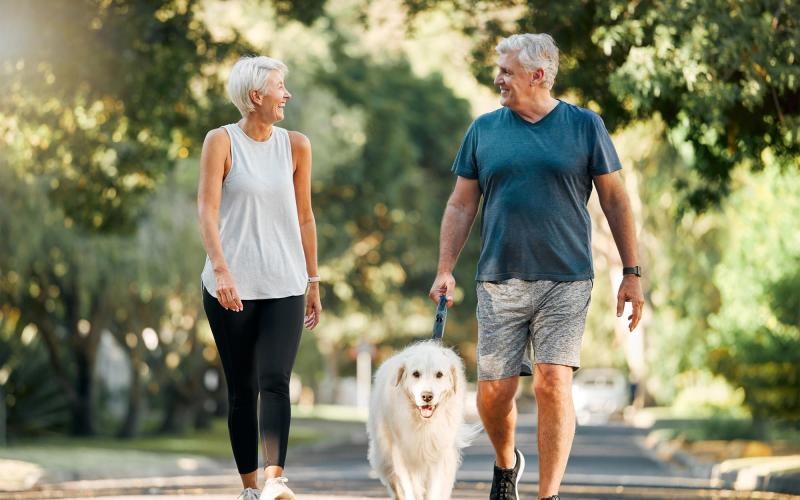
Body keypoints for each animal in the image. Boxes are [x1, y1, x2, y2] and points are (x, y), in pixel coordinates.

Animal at [368, 340, 476, 500]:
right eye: (416, 374)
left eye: (439, 374)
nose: (427, 396)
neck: (424, 424)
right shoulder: (403, 454)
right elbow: (410, 487)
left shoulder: (439, 455)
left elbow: (436, 489)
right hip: (384, 455)